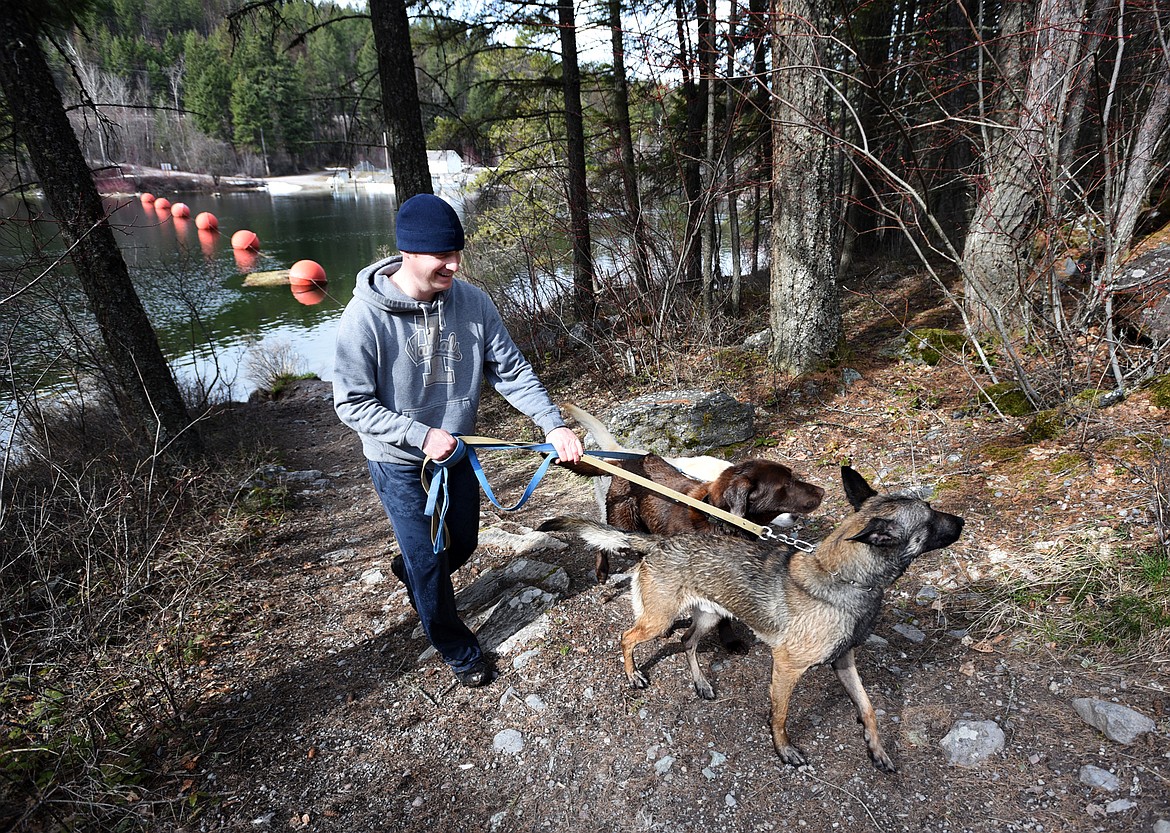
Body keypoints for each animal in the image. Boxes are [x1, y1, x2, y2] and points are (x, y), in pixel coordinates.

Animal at [538, 465, 959, 772]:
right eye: (930, 518)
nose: (961, 521)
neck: (843, 577)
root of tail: (661, 542)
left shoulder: (844, 660)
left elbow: (868, 708)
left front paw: (877, 748)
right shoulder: (786, 666)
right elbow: (780, 715)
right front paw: (784, 750)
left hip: (708, 618)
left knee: (687, 643)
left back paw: (701, 683)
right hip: (658, 619)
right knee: (627, 638)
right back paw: (632, 675)